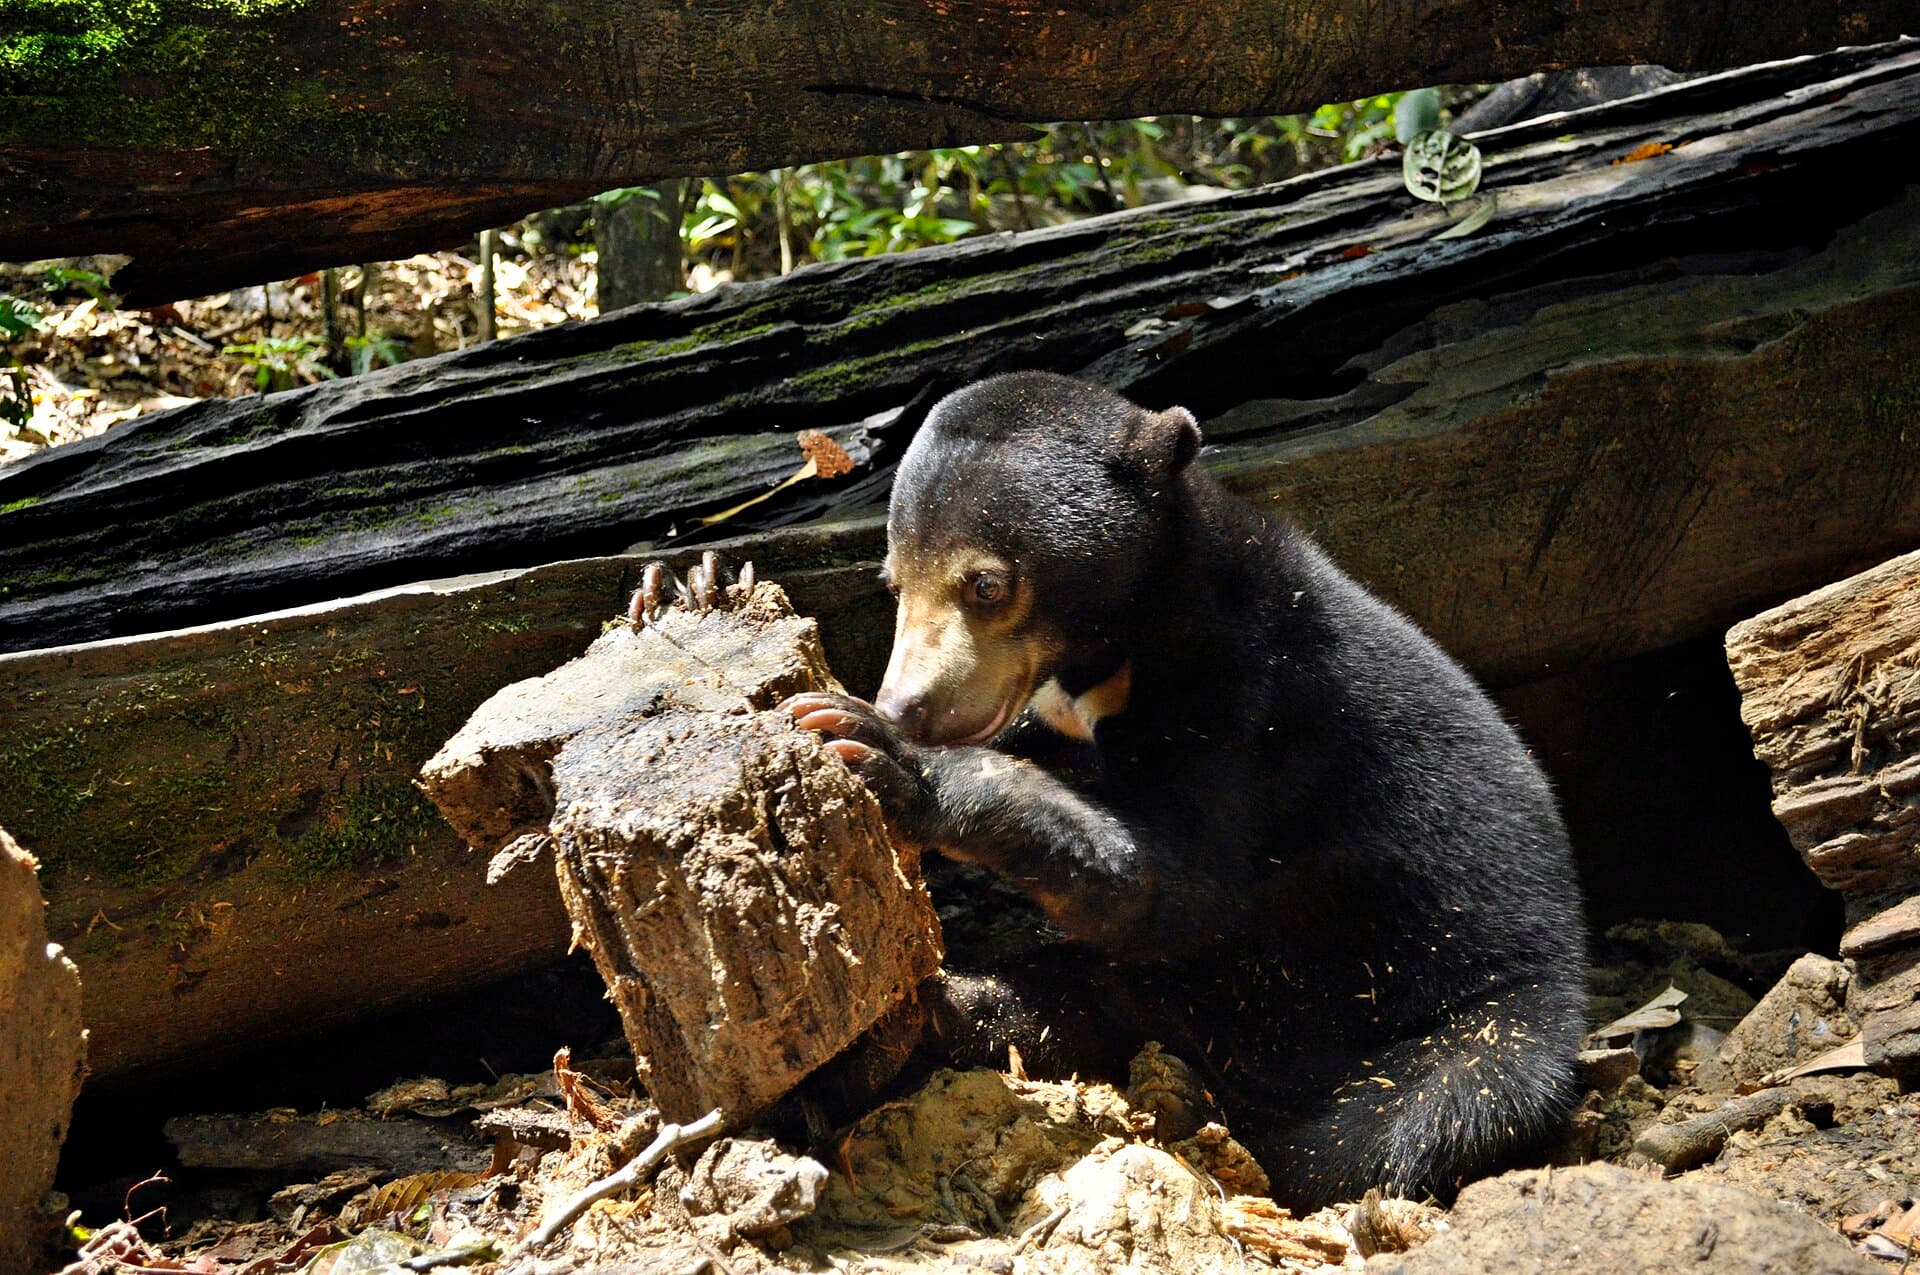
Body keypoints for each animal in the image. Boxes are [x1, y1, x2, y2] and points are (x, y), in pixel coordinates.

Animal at [780, 370, 1589, 1207]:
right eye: (894, 583)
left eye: (987, 584)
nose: (908, 704)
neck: (1125, 648)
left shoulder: (1254, 705)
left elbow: (1166, 883)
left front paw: (874, 747)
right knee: (1069, 1001)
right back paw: (885, 1046)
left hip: (1472, 1021)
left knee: (1397, 1127)